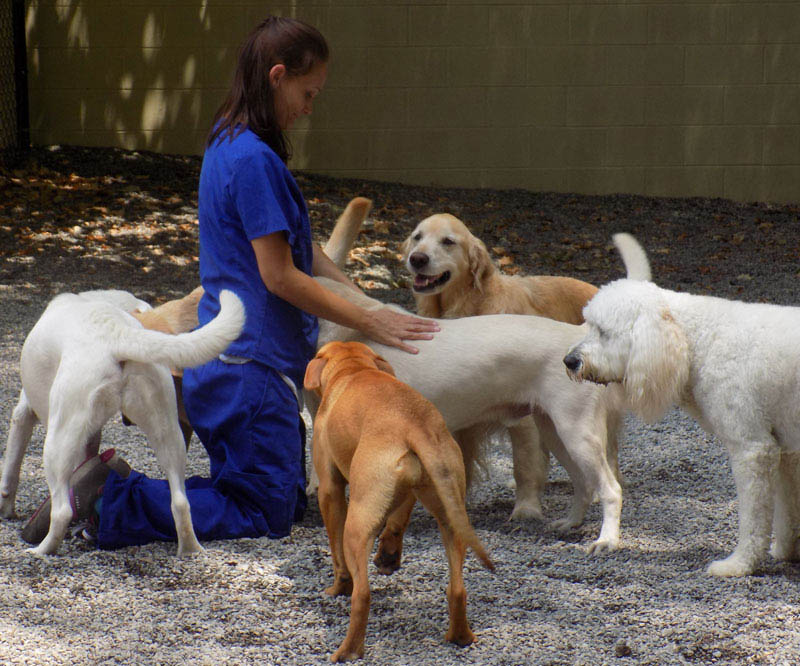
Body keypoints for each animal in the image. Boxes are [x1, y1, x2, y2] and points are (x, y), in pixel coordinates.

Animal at [0, 288, 244, 552]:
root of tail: (118, 332)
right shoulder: (91, 435)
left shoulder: (23, 414)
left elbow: (11, 471)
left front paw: (6, 511)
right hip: (168, 433)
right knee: (180, 503)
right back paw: (190, 550)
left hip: (58, 443)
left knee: (62, 510)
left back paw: (41, 550)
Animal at [304, 340, 494, 660]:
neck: (353, 368)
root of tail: (414, 425)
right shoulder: (408, 495)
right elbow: (396, 524)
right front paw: (388, 556)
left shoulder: (329, 490)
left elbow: (337, 554)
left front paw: (337, 587)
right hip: (451, 518)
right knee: (457, 589)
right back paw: (460, 637)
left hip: (357, 525)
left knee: (362, 595)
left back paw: (348, 651)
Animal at [564, 235, 800, 576]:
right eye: (588, 325)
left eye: (604, 332)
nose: (569, 361)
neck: (698, 338)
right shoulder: (784, 449)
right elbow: (788, 509)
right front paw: (785, 550)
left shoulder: (752, 449)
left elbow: (753, 519)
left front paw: (739, 565)